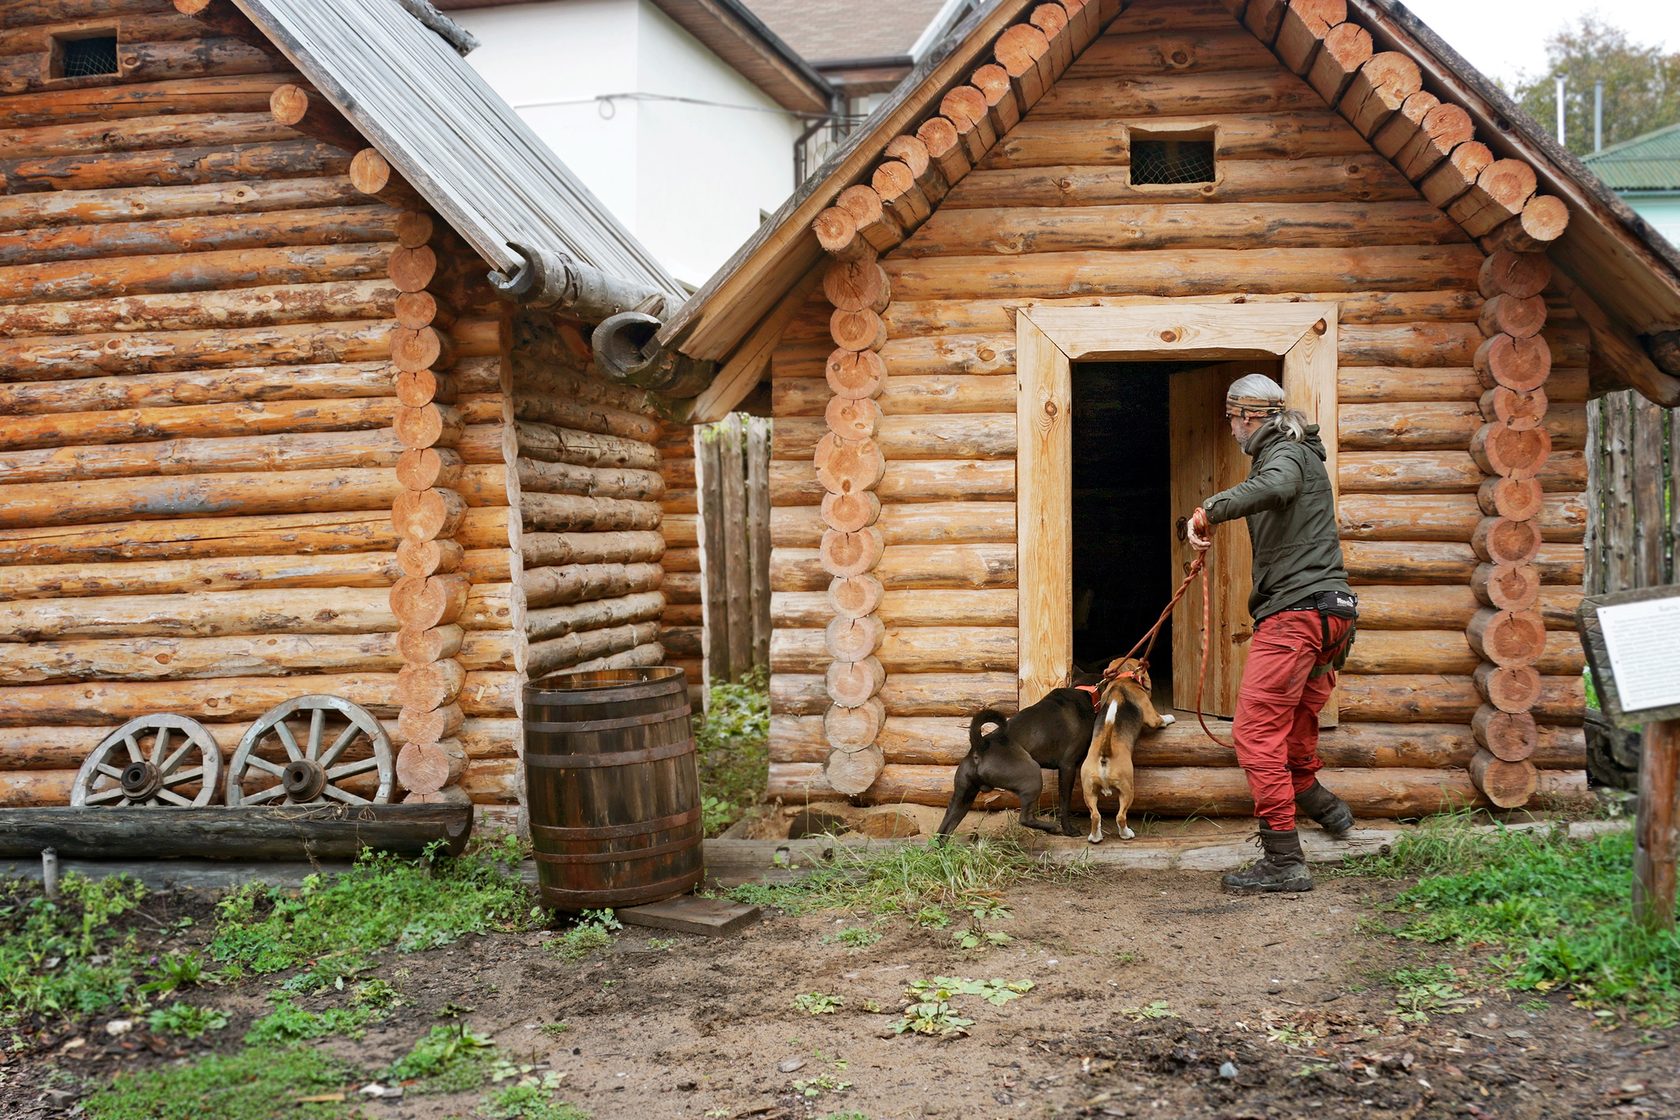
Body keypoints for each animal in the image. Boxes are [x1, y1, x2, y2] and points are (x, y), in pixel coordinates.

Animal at [1081, 661, 1176, 846]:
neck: (1122, 680)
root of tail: (1105, 753)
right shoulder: (1152, 716)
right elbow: (1160, 719)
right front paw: (1169, 717)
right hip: (1127, 789)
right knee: (1120, 817)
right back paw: (1126, 834)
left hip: (1088, 790)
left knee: (1095, 815)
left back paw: (1095, 837)